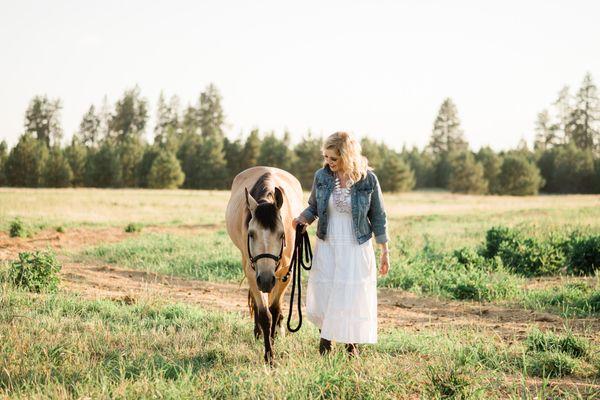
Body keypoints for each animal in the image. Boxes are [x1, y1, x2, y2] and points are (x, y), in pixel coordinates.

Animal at [224, 166, 302, 362]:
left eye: (282, 235)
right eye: (251, 234)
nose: (266, 280)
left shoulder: (284, 274)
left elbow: (274, 310)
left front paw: (273, 339)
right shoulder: (254, 273)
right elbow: (265, 315)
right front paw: (269, 355)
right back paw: (258, 331)